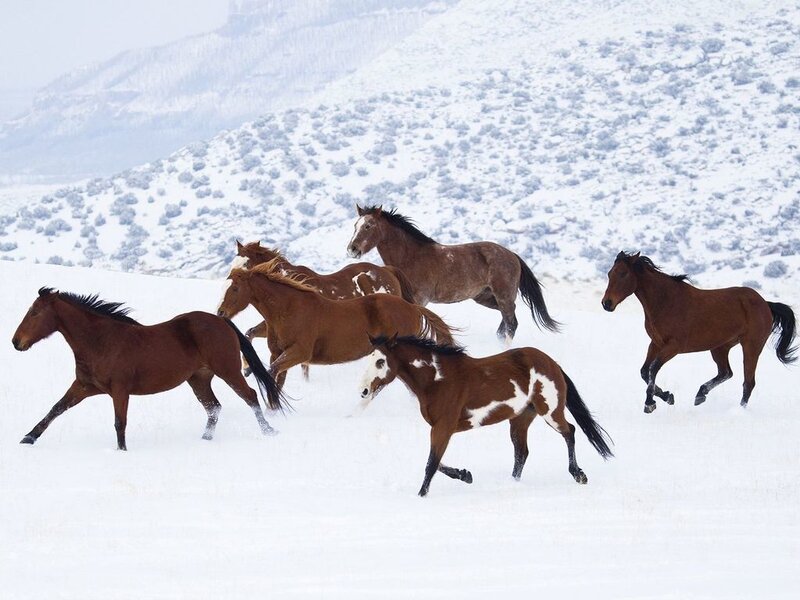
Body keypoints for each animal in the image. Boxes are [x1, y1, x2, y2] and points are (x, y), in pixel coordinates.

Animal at [12, 287, 287, 450]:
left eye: (35, 312)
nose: (16, 342)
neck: (101, 341)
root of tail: (222, 321)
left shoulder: (119, 390)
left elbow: (119, 422)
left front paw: (121, 450)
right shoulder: (84, 386)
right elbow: (56, 408)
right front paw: (28, 438)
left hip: (227, 370)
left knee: (250, 395)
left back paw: (269, 431)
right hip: (198, 379)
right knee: (214, 407)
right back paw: (205, 440)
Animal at [216, 259, 456, 394]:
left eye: (235, 288)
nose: (220, 312)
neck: (289, 309)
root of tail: (412, 308)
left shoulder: (300, 353)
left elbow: (271, 371)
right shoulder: (278, 352)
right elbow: (275, 374)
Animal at [346, 204, 560, 342]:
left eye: (368, 225)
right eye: (355, 225)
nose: (352, 249)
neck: (410, 257)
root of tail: (512, 255)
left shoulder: (420, 300)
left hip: (503, 296)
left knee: (511, 324)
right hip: (486, 298)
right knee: (506, 323)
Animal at [358, 335, 613, 497]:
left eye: (380, 361)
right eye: (368, 359)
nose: (364, 391)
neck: (438, 380)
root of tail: (551, 363)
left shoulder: (443, 427)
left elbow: (431, 464)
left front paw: (422, 495)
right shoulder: (441, 429)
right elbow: (437, 463)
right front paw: (466, 474)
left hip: (550, 411)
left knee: (570, 431)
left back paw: (579, 475)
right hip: (520, 418)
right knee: (521, 453)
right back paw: (512, 483)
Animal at [601, 251, 797, 412]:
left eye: (623, 273)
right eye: (610, 273)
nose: (606, 303)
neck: (665, 302)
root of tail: (765, 303)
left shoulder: (673, 346)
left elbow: (653, 369)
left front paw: (650, 403)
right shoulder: (656, 343)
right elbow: (644, 371)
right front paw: (667, 396)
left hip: (751, 346)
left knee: (748, 382)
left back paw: (738, 411)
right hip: (720, 347)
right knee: (726, 373)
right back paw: (700, 394)